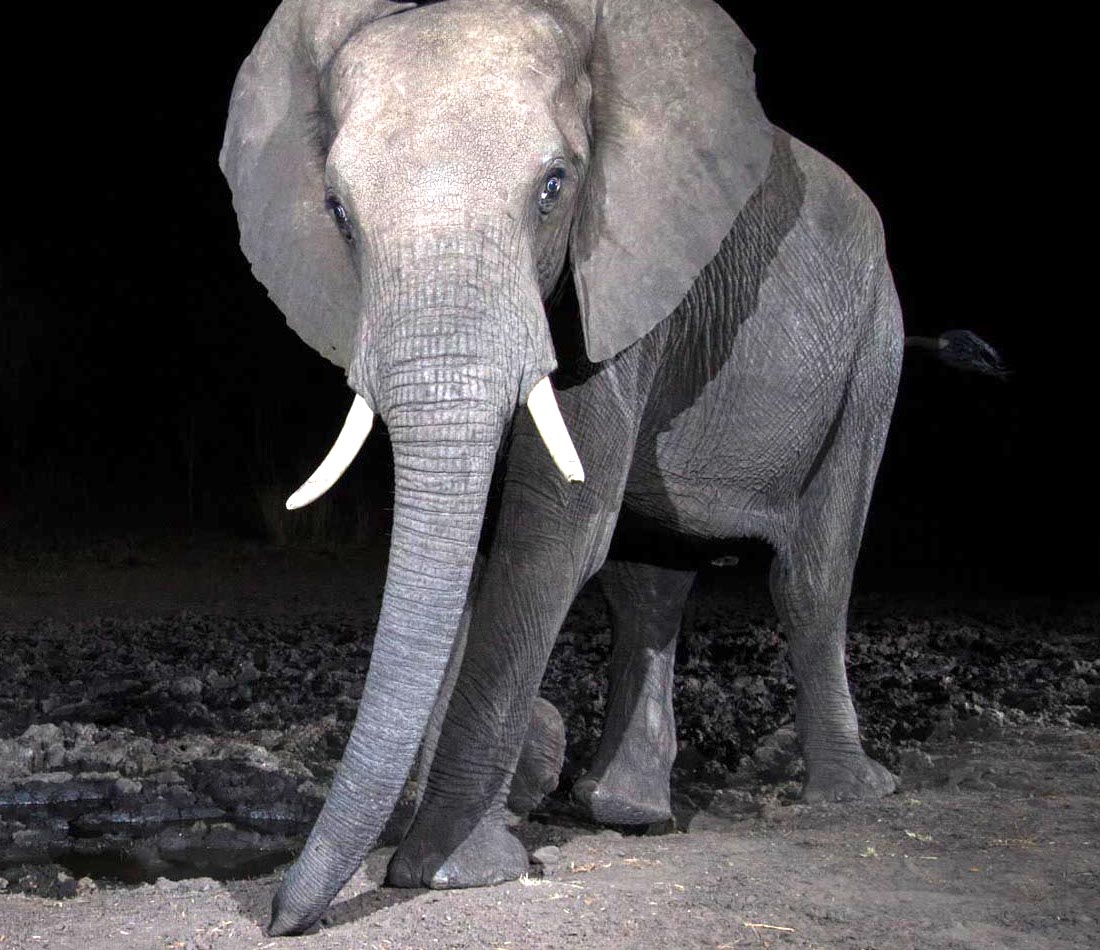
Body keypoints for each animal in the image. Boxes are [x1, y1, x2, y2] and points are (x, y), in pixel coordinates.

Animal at [222, 0, 908, 935]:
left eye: (554, 189)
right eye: (337, 210)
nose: (277, 919)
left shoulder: (627, 278)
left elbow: (550, 537)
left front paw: (450, 872)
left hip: (875, 344)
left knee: (812, 574)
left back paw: (850, 797)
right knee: (650, 579)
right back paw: (626, 810)